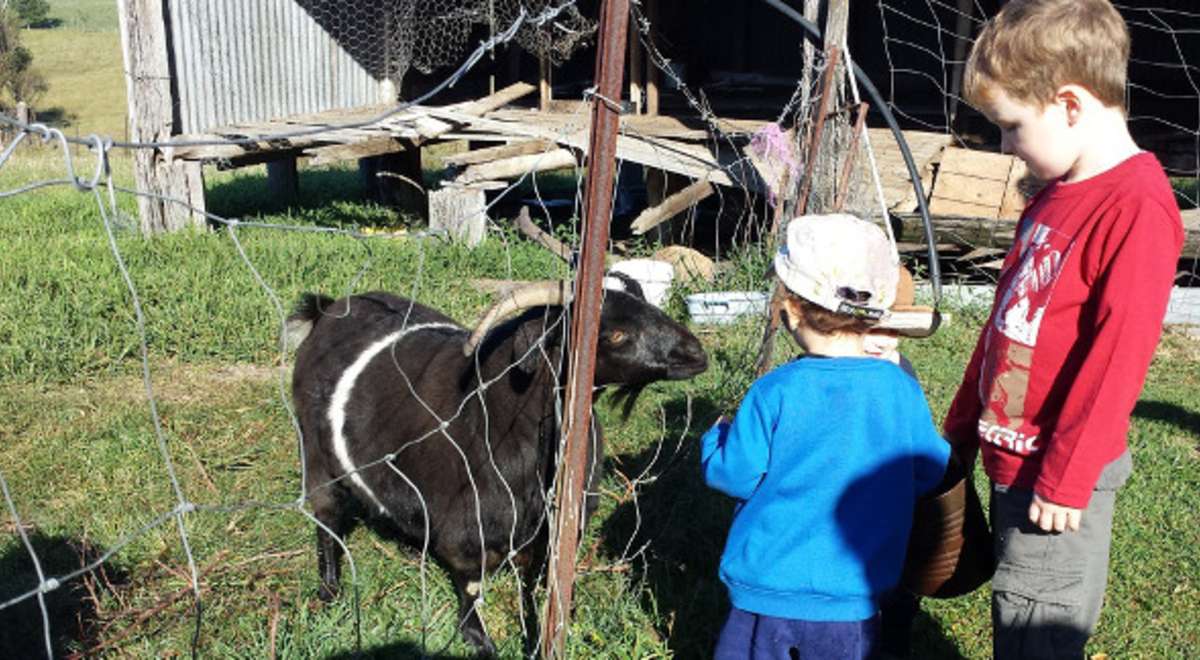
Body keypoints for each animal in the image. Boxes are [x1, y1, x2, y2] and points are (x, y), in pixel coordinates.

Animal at [287, 280, 707, 654]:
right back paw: (329, 589)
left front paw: (556, 620)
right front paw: (479, 639)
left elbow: (546, 574)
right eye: (617, 334)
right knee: (326, 516)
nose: (696, 353)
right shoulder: (465, 524)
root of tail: (328, 308)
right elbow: (470, 583)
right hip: (315, 454)